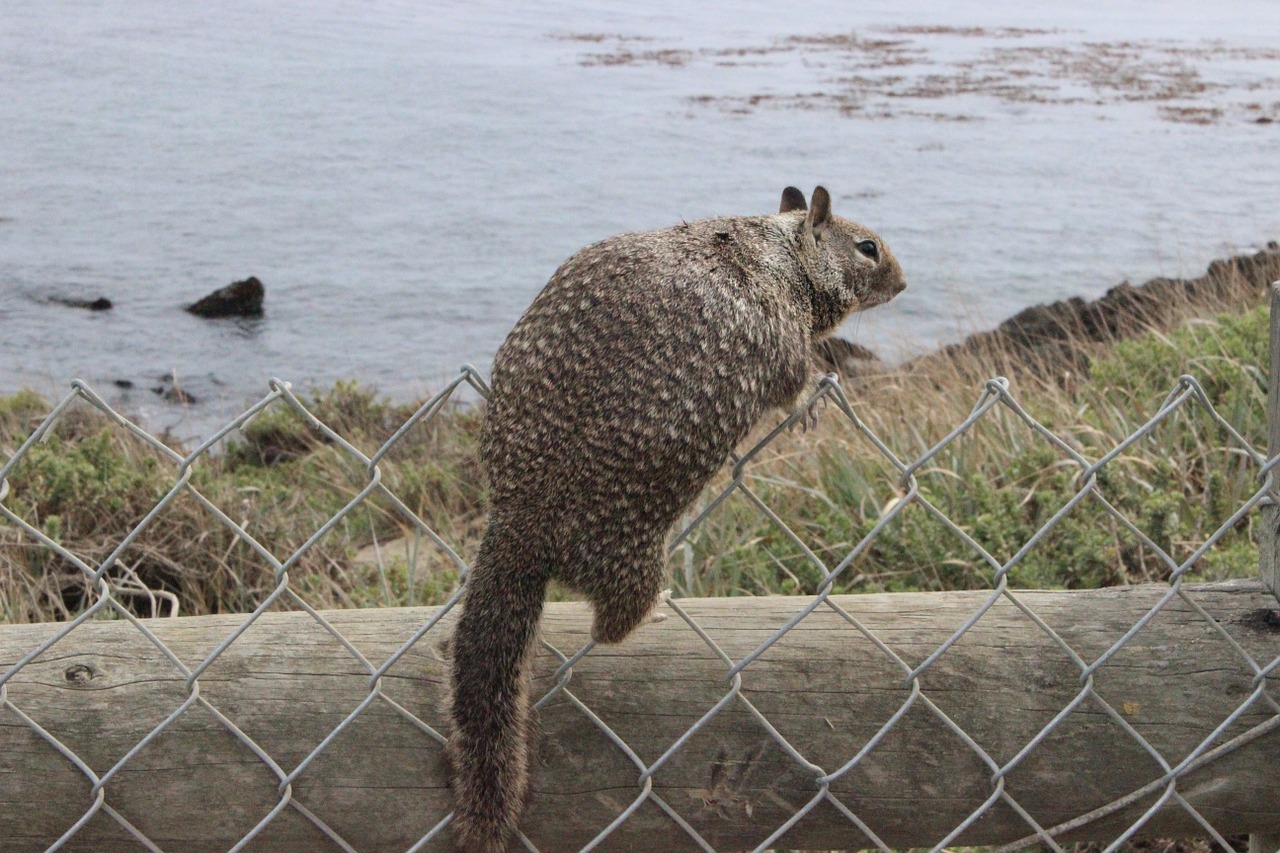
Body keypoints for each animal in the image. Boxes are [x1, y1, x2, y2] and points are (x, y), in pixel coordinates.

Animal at [445, 183, 906, 845]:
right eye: (868, 248)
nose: (904, 282)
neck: (781, 251)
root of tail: (519, 524)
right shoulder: (784, 336)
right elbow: (795, 379)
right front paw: (814, 398)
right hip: (634, 557)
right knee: (610, 626)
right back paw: (654, 611)